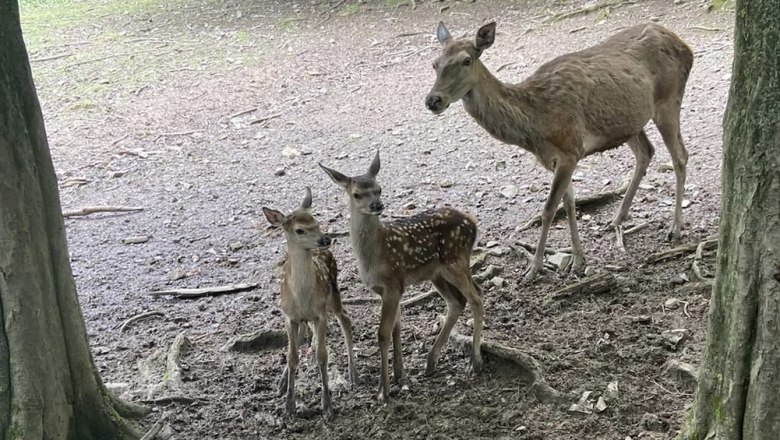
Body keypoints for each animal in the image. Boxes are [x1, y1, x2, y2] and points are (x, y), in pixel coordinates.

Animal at [264, 187, 358, 422]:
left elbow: (321, 356)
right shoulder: (288, 316)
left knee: (345, 319)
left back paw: (353, 373)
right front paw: (289, 407)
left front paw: (327, 407)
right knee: (302, 337)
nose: (325, 239)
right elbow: (292, 356)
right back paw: (281, 384)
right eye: (299, 230)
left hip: (333, 294)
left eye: (316, 222)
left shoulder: (320, 314)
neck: (302, 297)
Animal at [320, 152, 484, 402]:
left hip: (455, 261)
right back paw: (431, 362)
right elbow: (396, 328)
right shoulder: (391, 288)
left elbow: (383, 333)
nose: (377, 205)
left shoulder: (392, 285)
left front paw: (383, 390)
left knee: (476, 298)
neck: (375, 255)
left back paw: (475, 361)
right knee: (458, 301)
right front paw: (399, 376)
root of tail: (472, 221)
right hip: (437, 273)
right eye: (356, 194)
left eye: (379, 189)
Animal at [426, 22, 696, 280]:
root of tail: (684, 45)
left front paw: (533, 269)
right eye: (434, 63)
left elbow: (548, 209)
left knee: (680, 156)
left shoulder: (570, 149)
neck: (535, 127)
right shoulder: (556, 159)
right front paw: (578, 259)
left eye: (466, 60)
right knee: (646, 152)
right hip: (629, 122)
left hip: (669, 99)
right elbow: (569, 203)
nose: (432, 100)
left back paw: (675, 228)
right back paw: (617, 219)